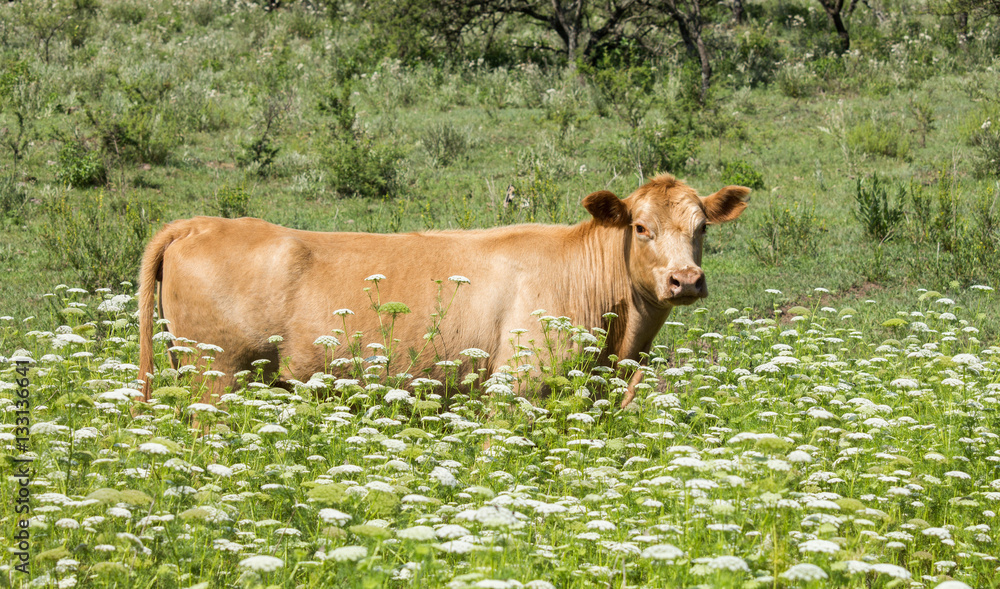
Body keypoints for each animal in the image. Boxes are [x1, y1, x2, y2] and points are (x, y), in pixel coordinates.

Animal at [138, 174, 749, 407]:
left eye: (702, 228)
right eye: (641, 227)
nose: (685, 280)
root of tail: (199, 222)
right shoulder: (517, 390)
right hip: (216, 376)